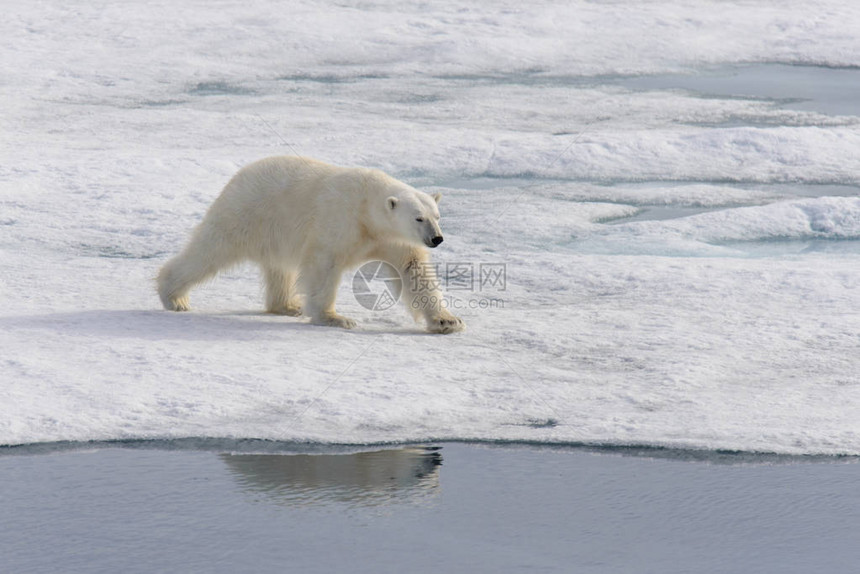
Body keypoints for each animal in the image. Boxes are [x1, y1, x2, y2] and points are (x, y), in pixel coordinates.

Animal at [155, 158, 464, 338]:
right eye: (418, 218)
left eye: (437, 216)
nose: (437, 239)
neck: (368, 212)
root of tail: (238, 176)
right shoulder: (339, 219)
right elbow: (323, 265)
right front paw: (335, 318)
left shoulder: (393, 240)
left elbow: (414, 270)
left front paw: (447, 322)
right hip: (247, 213)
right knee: (210, 250)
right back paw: (174, 297)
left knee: (279, 268)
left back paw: (287, 305)